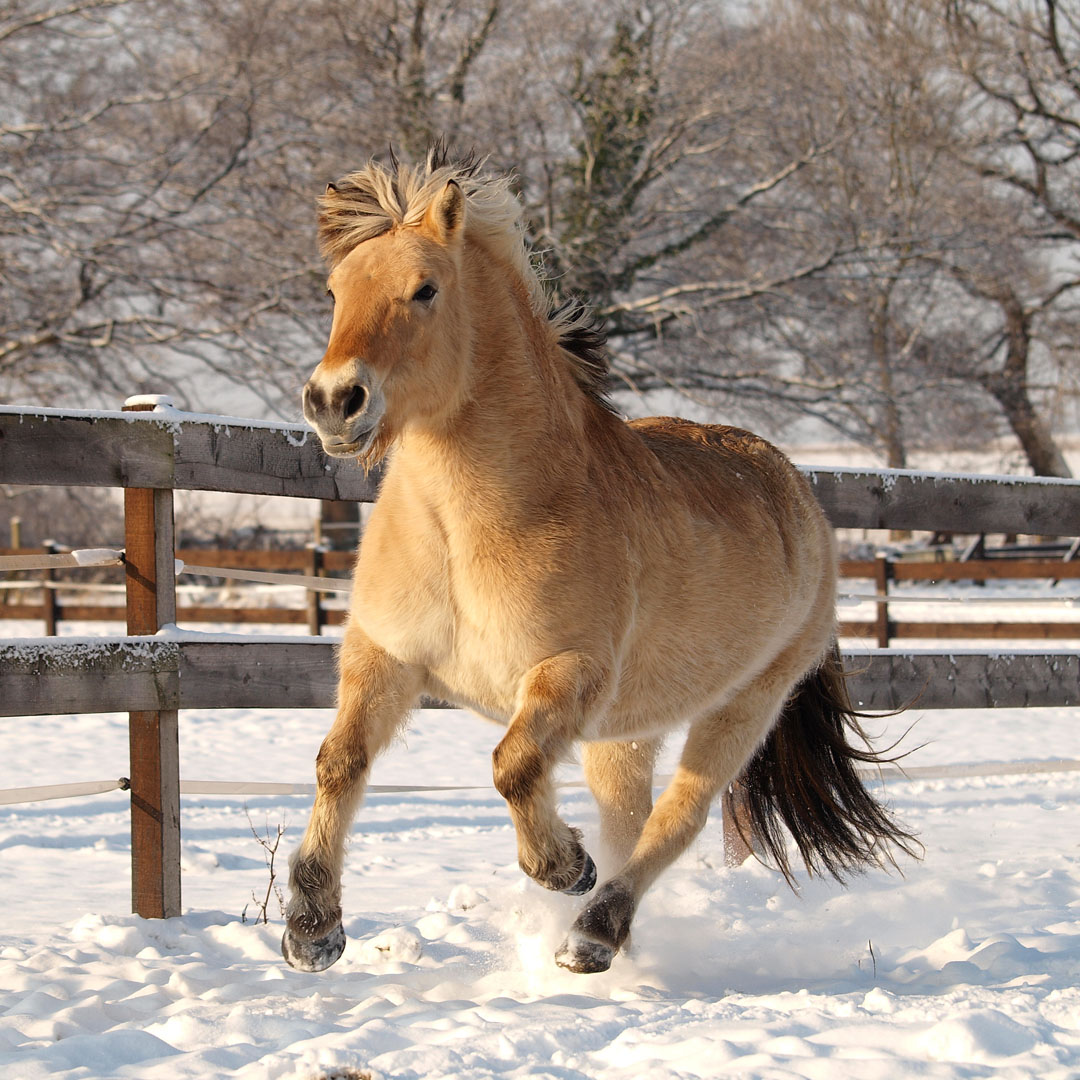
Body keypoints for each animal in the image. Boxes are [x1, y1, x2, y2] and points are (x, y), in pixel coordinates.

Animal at [282, 144, 917, 976]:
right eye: (334, 291)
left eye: (425, 289)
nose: (335, 401)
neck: (470, 528)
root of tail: (797, 492)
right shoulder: (384, 656)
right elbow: (339, 760)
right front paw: (312, 928)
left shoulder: (569, 672)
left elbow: (513, 764)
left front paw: (560, 866)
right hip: (625, 736)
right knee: (631, 823)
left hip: (743, 706)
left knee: (676, 819)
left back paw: (592, 930)